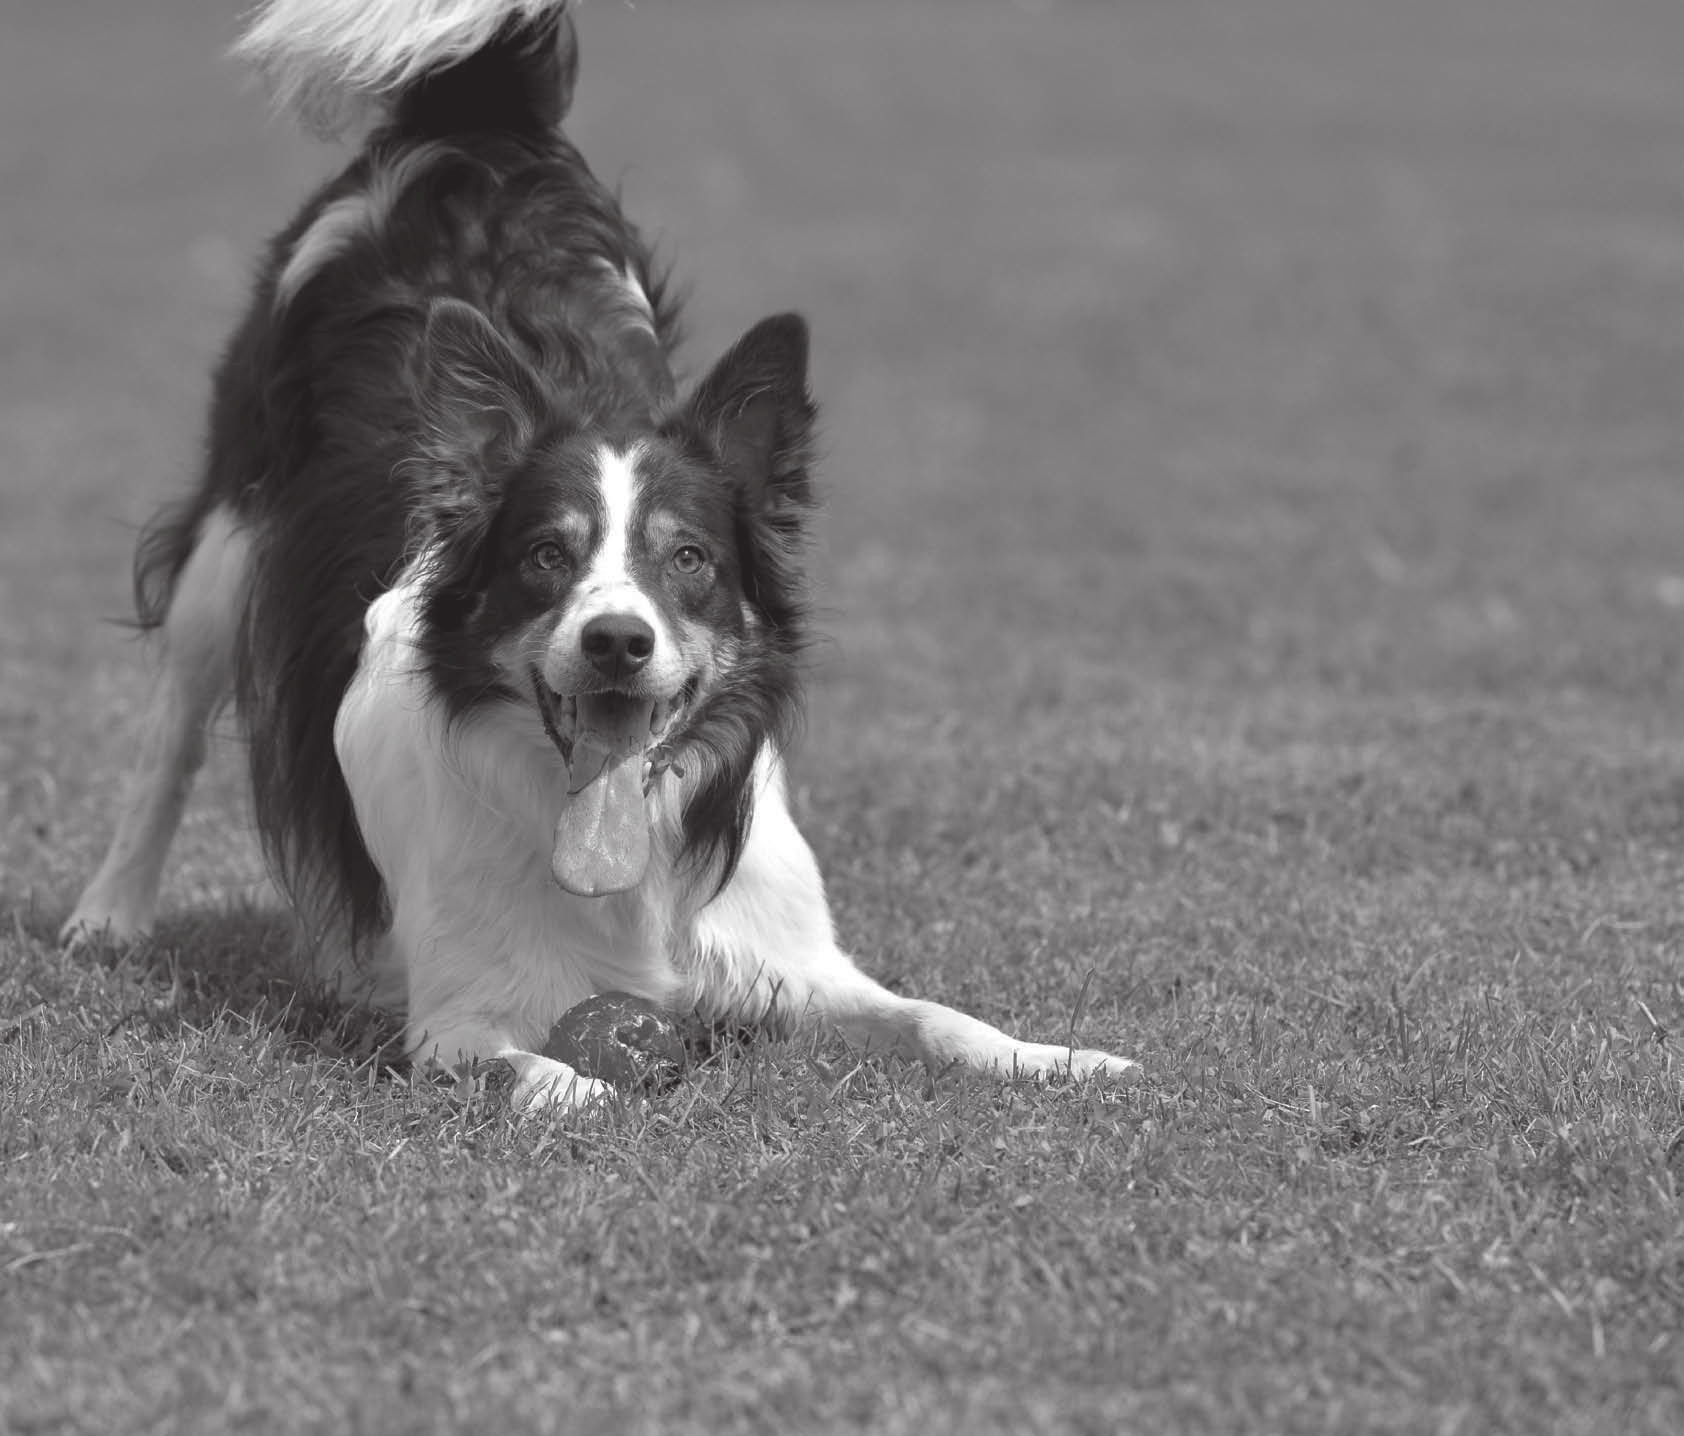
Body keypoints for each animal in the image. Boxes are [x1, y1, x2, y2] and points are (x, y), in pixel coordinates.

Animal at [59, 0, 1138, 1111]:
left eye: (689, 559)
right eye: (545, 554)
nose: (618, 641)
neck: (618, 847)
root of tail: (477, 127)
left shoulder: (787, 959)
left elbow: (933, 1017)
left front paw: (1061, 1058)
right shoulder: (455, 1025)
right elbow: (563, 1083)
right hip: (230, 541)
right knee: (172, 733)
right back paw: (110, 912)